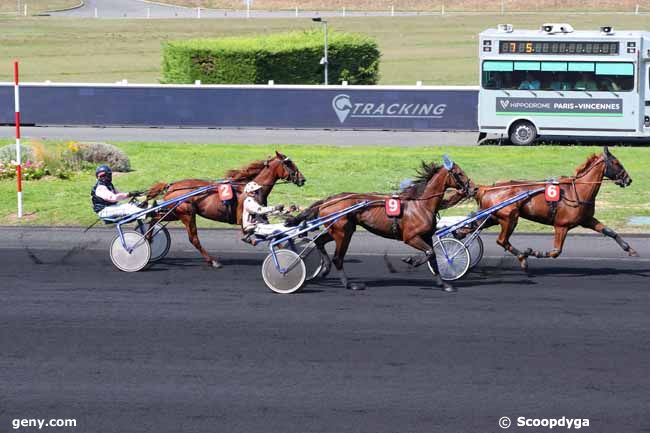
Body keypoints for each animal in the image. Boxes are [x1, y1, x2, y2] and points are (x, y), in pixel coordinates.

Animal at [146, 151, 306, 266]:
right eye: (289, 163)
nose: (302, 179)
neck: (251, 189)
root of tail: (171, 186)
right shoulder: (246, 217)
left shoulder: (260, 217)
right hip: (187, 214)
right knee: (193, 238)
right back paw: (213, 261)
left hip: (174, 212)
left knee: (154, 218)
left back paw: (148, 239)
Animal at [286, 157, 474, 292]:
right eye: (459, 173)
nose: (472, 189)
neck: (420, 205)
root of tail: (327, 200)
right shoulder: (410, 237)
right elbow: (429, 253)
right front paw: (411, 260)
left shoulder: (426, 236)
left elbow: (433, 257)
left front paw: (444, 284)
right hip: (342, 232)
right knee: (338, 258)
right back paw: (349, 284)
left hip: (339, 229)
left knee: (320, 241)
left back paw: (325, 269)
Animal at [466, 145, 632, 270]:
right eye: (616, 163)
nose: (628, 179)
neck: (577, 191)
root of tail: (486, 188)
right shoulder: (561, 225)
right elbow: (556, 252)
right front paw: (533, 252)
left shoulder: (587, 219)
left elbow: (609, 231)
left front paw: (629, 249)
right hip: (509, 218)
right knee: (501, 240)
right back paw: (522, 257)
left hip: (493, 217)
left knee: (472, 228)